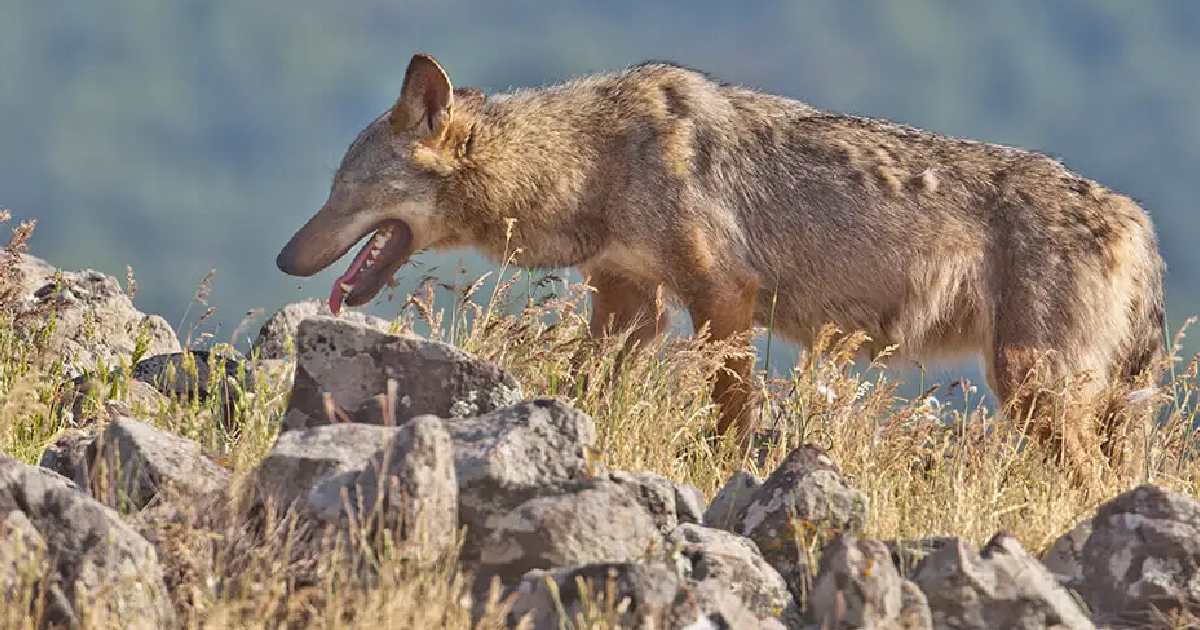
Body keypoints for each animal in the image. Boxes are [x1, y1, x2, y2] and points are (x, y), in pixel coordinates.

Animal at [274, 52, 1161, 436]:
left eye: (349, 190)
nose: (284, 259)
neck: (593, 162)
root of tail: (1136, 216)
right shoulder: (629, 303)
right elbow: (584, 386)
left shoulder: (722, 298)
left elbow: (731, 413)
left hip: (1032, 389)